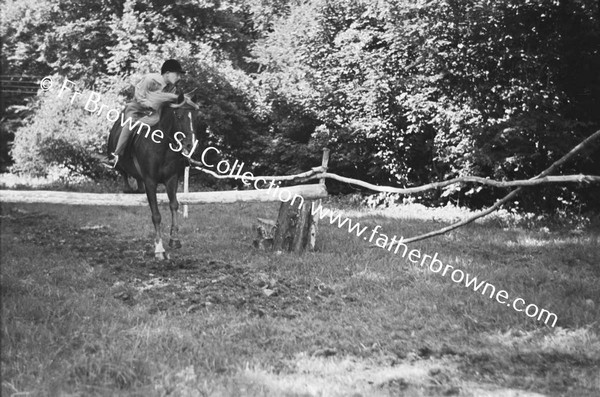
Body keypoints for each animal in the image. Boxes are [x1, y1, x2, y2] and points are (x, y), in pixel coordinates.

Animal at [107, 101, 202, 260]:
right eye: (179, 116)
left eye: (196, 116)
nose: (191, 144)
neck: (162, 145)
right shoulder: (150, 181)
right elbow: (156, 215)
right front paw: (159, 248)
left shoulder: (172, 179)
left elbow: (174, 205)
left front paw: (174, 239)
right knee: (122, 171)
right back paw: (127, 186)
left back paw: (137, 188)